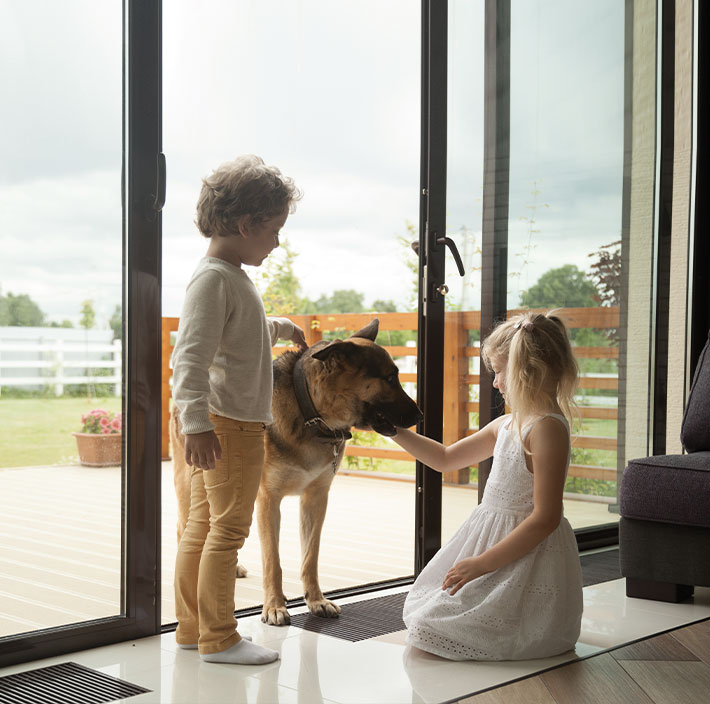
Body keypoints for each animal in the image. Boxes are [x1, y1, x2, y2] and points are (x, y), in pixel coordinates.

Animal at [172, 320, 422, 628]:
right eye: (389, 379)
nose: (421, 416)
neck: (312, 414)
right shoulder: (268, 501)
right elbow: (273, 560)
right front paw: (274, 606)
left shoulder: (316, 499)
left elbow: (310, 557)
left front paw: (316, 600)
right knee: (186, 528)